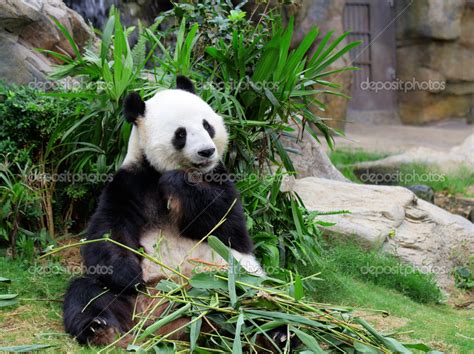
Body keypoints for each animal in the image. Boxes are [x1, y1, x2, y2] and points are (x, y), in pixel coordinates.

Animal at [61, 76, 264, 346]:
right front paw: (128, 274)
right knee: (88, 293)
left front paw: (177, 182)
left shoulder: (220, 179)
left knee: (251, 305)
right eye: (181, 133)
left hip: (231, 281)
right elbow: (108, 232)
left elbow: (226, 224)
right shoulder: (129, 184)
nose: (207, 151)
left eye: (207, 125)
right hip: (130, 297)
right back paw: (100, 329)